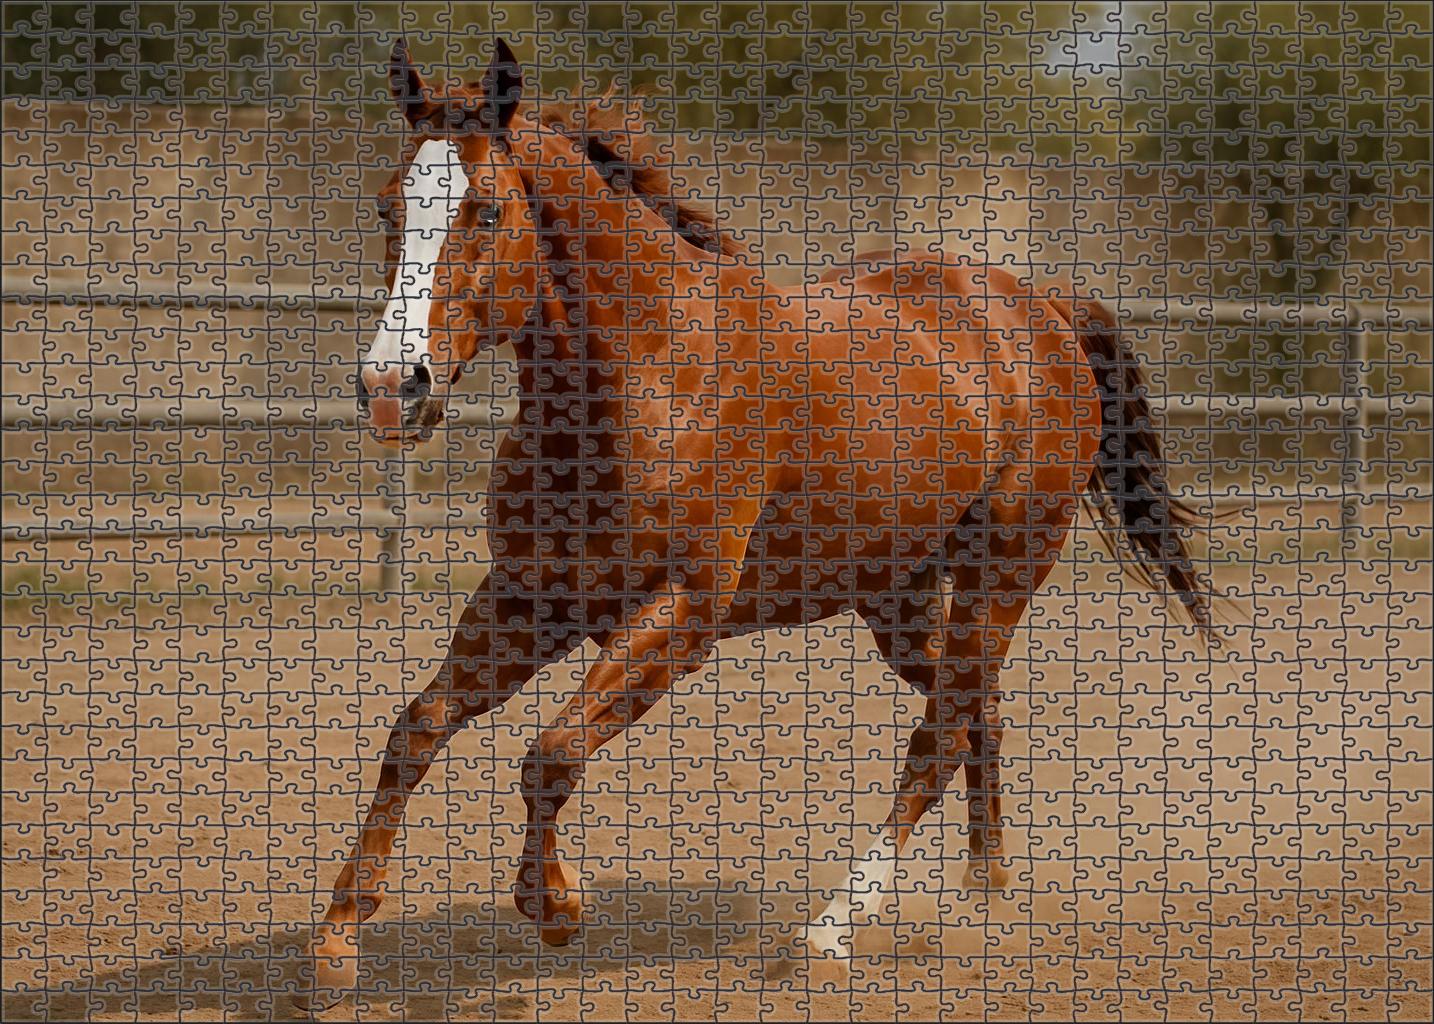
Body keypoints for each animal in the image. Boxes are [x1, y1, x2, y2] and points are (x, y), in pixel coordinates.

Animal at [297, 37, 1215, 1009]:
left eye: (485, 208)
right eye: (388, 204)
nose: (392, 388)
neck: (649, 376)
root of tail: (1038, 307)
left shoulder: (681, 615)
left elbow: (549, 753)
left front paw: (556, 908)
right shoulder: (527, 599)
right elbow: (416, 729)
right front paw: (336, 944)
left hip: (1001, 575)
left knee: (937, 740)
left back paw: (828, 933)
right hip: (895, 600)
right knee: (976, 714)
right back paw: (984, 891)